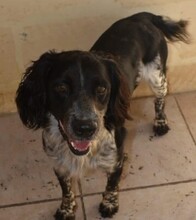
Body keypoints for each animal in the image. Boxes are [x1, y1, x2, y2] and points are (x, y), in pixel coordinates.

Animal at [14, 12, 189, 220]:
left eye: (102, 89)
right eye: (61, 88)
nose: (85, 128)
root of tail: (142, 17)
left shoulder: (115, 157)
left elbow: (112, 183)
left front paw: (109, 204)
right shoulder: (58, 161)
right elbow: (66, 188)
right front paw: (66, 209)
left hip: (156, 77)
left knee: (160, 99)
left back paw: (160, 122)